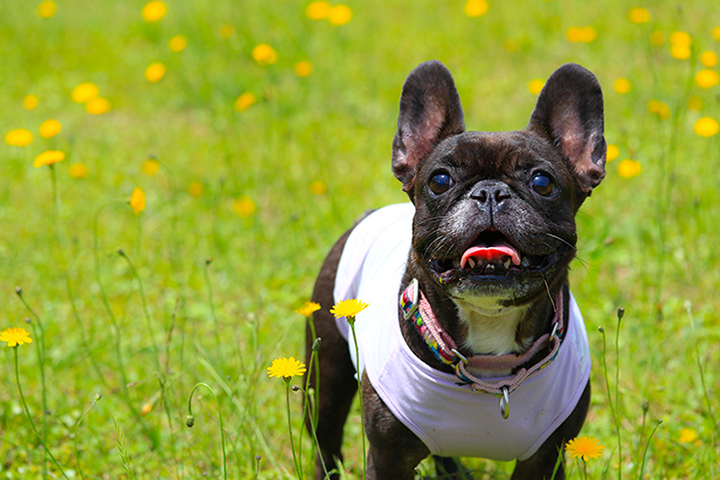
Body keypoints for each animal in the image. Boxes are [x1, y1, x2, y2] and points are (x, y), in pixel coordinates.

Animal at [306, 61, 604, 480]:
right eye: (440, 180)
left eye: (542, 182)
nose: (491, 192)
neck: (491, 363)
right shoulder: (387, 457)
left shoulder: (546, 457)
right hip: (325, 374)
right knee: (326, 440)